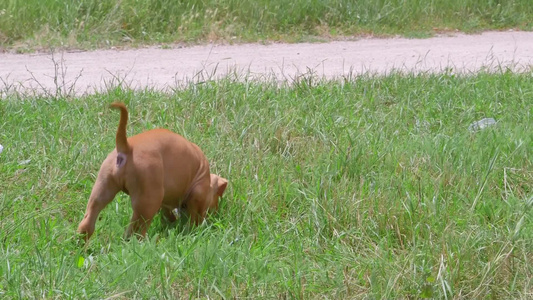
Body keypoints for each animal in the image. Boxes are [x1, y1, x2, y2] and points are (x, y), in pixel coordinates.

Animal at [77, 102, 227, 240]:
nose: (217, 214)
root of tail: (127, 147)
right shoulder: (198, 195)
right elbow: (195, 217)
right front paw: (194, 231)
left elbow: (167, 212)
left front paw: (171, 223)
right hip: (147, 200)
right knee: (135, 233)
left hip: (102, 189)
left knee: (87, 221)